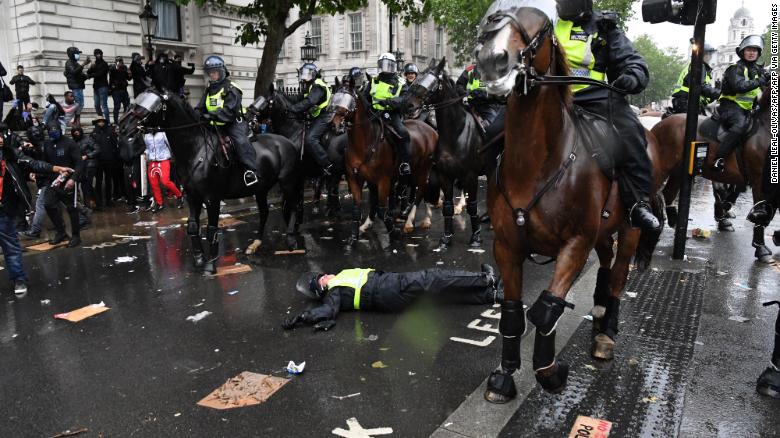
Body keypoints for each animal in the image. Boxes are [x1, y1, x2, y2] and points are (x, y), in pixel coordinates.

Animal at [118, 89, 302, 274]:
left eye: (150, 106)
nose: (122, 126)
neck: (196, 149)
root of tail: (287, 142)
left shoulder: (212, 198)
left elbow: (211, 229)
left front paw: (211, 264)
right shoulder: (193, 197)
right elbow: (193, 226)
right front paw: (199, 259)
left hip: (287, 182)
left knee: (294, 205)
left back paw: (291, 240)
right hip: (261, 189)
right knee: (264, 212)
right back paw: (255, 243)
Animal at [330, 76, 438, 245]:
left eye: (349, 100)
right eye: (334, 97)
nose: (334, 125)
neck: (365, 143)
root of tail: (430, 129)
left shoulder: (383, 180)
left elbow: (381, 210)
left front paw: (393, 233)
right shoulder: (356, 179)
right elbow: (357, 208)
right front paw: (354, 237)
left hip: (422, 169)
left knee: (420, 191)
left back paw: (411, 222)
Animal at [408, 58, 488, 250]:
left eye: (432, 83)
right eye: (418, 77)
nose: (409, 105)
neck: (455, 133)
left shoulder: (471, 175)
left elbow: (473, 206)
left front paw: (476, 237)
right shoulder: (445, 175)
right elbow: (447, 206)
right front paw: (446, 238)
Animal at [472, 3, 680, 402]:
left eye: (540, 30)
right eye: (492, 17)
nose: (492, 61)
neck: (537, 164)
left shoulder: (574, 245)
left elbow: (546, 310)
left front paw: (549, 372)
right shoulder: (506, 246)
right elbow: (512, 313)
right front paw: (504, 376)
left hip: (629, 229)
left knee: (618, 275)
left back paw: (606, 332)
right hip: (602, 230)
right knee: (606, 263)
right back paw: (597, 308)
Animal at [652, 87, 772, 262]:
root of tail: (661, 123)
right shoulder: (758, 182)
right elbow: (761, 212)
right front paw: (761, 248)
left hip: (678, 171)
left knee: (668, 193)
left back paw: (675, 224)